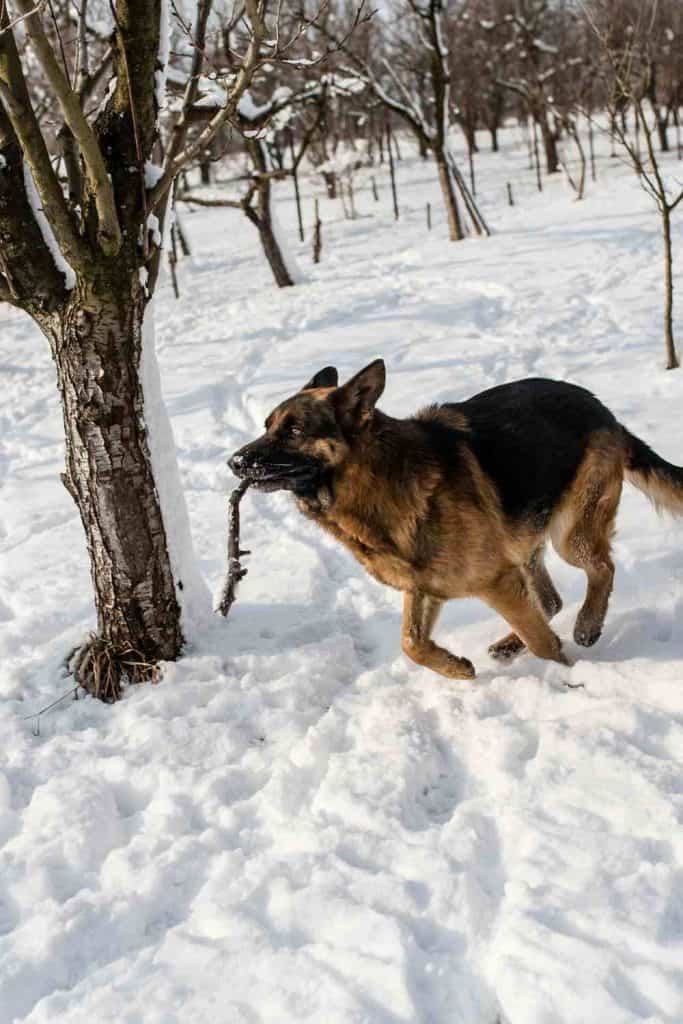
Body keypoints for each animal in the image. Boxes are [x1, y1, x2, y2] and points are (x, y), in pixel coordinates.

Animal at [231, 360, 683, 679]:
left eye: (294, 431)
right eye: (267, 426)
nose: (234, 462)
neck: (376, 482)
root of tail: (604, 410)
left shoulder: (495, 579)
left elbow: (542, 642)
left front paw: (570, 678)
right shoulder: (423, 586)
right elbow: (410, 643)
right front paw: (456, 669)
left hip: (569, 536)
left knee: (601, 568)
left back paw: (587, 626)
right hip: (525, 543)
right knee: (550, 600)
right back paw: (509, 644)